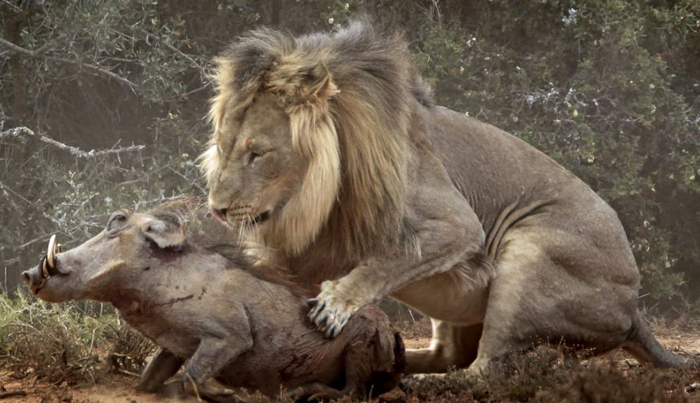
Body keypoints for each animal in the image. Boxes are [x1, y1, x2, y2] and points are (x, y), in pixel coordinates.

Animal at [22, 207, 405, 401]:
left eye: (116, 223)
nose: (28, 273)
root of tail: (394, 333)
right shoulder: (174, 346)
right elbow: (149, 383)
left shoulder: (229, 338)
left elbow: (190, 381)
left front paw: (233, 396)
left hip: (361, 347)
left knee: (353, 393)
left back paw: (305, 393)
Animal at [201, 22, 689, 375]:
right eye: (222, 147)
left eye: (257, 154)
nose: (216, 210)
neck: (311, 198)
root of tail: (634, 306)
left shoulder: (458, 224)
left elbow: (387, 261)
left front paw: (335, 304)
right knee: (449, 357)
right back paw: (400, 363)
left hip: (532, 249)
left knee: (484, 370)